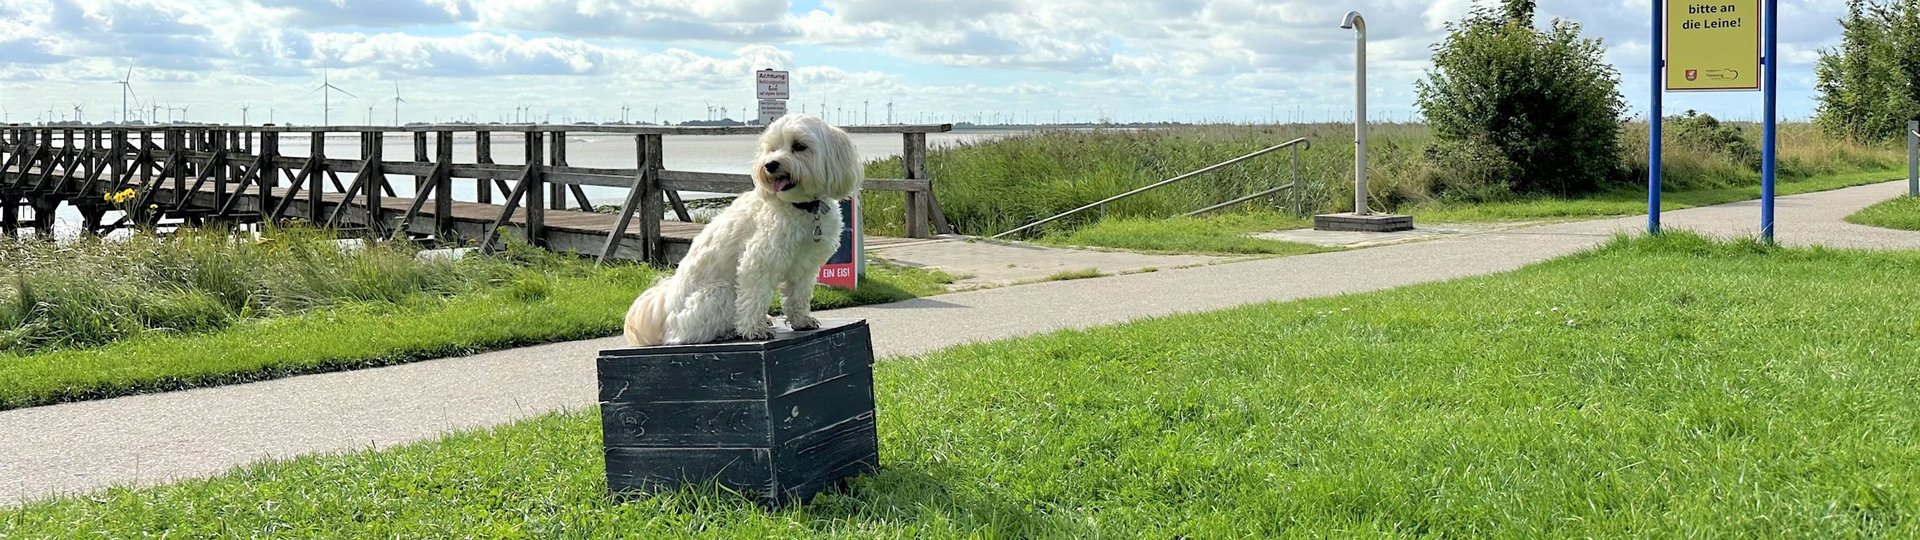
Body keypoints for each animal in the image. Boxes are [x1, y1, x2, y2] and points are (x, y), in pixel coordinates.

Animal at [622, 114, 864, 343]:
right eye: (771, 148)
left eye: (799, 146)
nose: (770, 164)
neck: (801, 207)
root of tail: (665, 308)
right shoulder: (758, 262)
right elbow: (754, 297)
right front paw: (754, 330)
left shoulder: (805, 266)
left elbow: (799, 295)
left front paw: (802, 320)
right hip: (720, 292)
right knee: (686, 335)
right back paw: (727, 332)